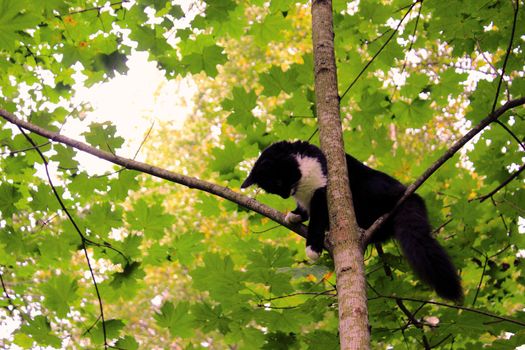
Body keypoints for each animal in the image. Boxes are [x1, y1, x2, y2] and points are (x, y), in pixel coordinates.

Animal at [242, 139, 462, 300]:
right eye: (272, 190)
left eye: (279, 182)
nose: (285, 195)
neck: (302, 179)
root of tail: (407, 194)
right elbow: (305, 211)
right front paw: (294, 215)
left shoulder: (321, 189)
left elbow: (317, 219)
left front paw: (313, 248)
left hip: (370, 188)